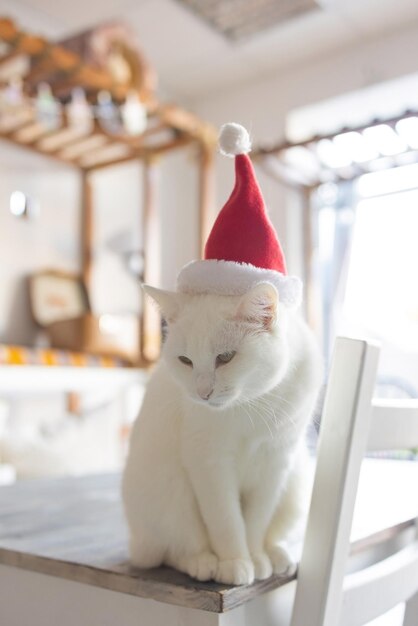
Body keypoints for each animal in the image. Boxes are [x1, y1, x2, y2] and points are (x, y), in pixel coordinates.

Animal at [122, 280, 322, 584]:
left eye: (225, 357)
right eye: (185, 360)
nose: (202, 393)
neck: (251, 404)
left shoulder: (276, 462)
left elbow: (256, 521)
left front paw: (256, 557)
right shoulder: (209, 462)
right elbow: (226, 521)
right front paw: (235, 562)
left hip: (296, 487)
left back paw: (276, 555)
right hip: (171, 494)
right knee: (170, 551)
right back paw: (201, 562)